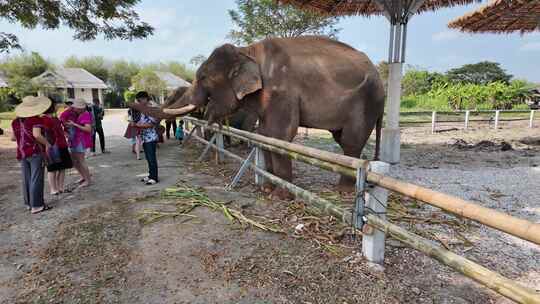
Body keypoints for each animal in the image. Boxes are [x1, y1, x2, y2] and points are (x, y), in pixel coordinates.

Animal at [159, 36, 384, 200]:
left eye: (204, 78)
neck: (247, 51)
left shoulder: (281, 91)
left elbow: (280, 136)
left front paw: (280, 196)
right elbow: (265, 135)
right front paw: (267, 188)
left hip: (366, 102)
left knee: (351, 140)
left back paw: (343, 191)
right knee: (343, 140)